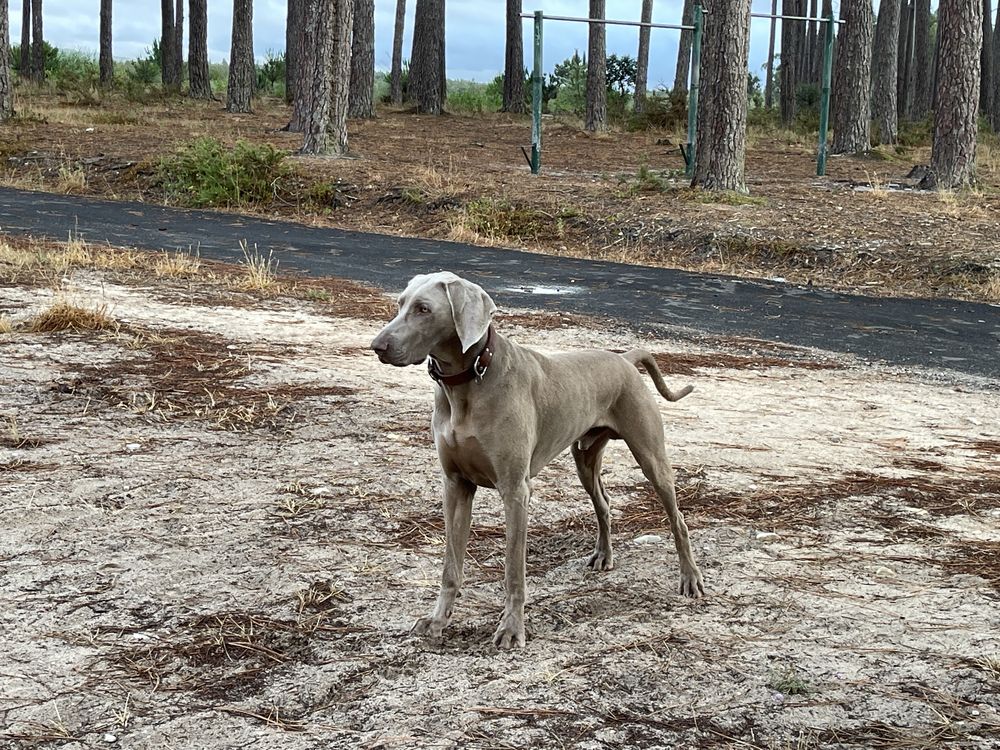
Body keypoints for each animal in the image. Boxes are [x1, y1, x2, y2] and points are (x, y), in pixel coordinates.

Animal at [372, 274, 708, 648]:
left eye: (424, 309)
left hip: (650, 455)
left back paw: (690, 578)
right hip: (585, 458)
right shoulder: (455, 485)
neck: (471, 380)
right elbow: (450, 566)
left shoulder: (516, 490)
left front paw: (511, 629)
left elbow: (513, 570)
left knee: (678, 519)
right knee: (604, 504)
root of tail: (624, 358)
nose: (377, 346)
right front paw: (437, 622)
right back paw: (604, 556)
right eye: (400, 303)